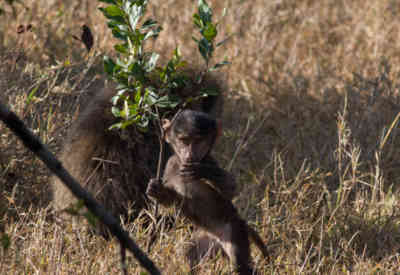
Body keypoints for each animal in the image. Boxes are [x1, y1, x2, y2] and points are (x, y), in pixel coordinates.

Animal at [145, 110, 268, 275]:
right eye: (184, 140)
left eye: (198, 141)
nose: (190, 155)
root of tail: (216, 237)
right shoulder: (170, 165)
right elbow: (171, 200)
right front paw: (155, 190)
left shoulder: (210, 161)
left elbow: (231, 189)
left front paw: (201, 170)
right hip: (205, 240)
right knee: (190, 256)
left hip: (234, 230)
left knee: (241, 265)